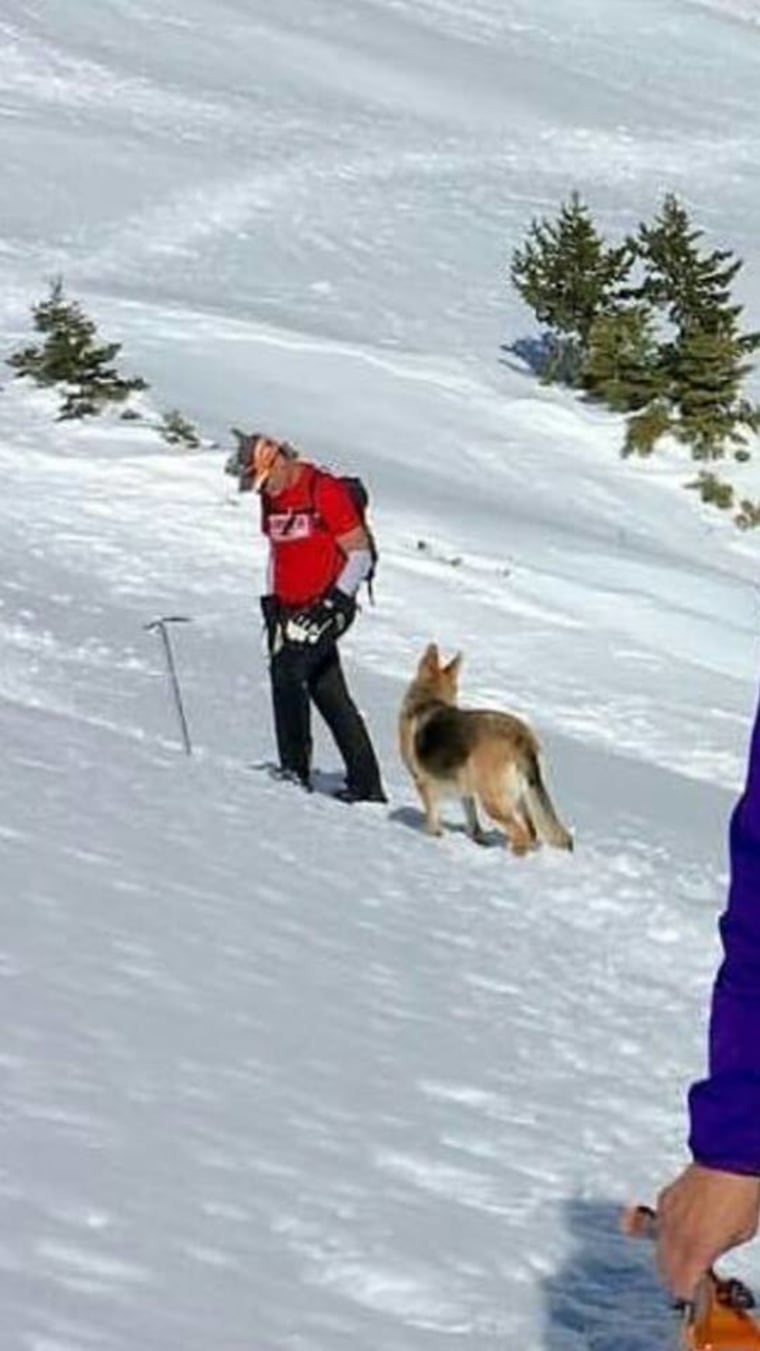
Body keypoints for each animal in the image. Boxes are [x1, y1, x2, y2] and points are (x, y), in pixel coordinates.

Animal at [402, 643, 575, 853]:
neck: (429, 700)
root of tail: (522, 738)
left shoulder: (423, 783)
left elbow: (434, 819)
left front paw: (434, 837)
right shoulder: (466, 791)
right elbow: (473, 825)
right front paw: (476, 840)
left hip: (493, 801)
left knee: (521, 835)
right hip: (521, 798)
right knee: (532, 832)